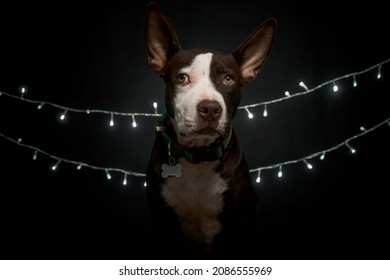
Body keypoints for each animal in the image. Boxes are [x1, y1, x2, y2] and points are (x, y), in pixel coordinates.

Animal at [145, 2, 276, 258]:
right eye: (182, 78)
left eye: (228, 79)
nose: (210, 109)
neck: (198, 157)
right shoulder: (160, 220)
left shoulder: (243, 220)